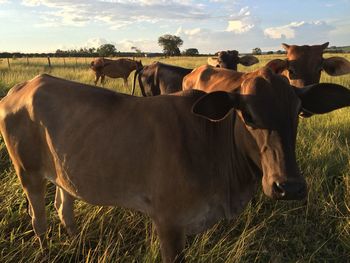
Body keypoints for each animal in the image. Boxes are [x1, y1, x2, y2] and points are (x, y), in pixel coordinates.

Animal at [0, 72, 350, 263]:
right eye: (248, 114)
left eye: (298, 111)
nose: (288, 186)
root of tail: (22, 87)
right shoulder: (168, 223)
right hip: (27, 173)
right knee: (39, 220)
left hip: (63, 173)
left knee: (64, 209)